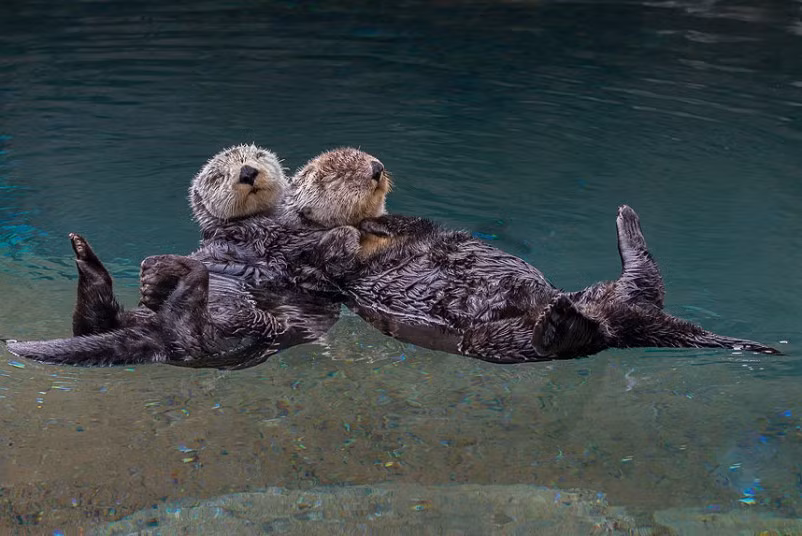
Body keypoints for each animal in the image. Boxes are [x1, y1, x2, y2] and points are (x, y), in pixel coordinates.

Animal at [6, 146, 391, 369]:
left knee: (188, 329)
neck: (272, 220)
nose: (247, 172)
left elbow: (326, 255)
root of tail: (153, 336)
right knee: (95, 322)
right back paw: (97, 260)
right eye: (219, 176)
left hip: (240, 329)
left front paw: (345, 234)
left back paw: (173, 272)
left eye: (259, 159)